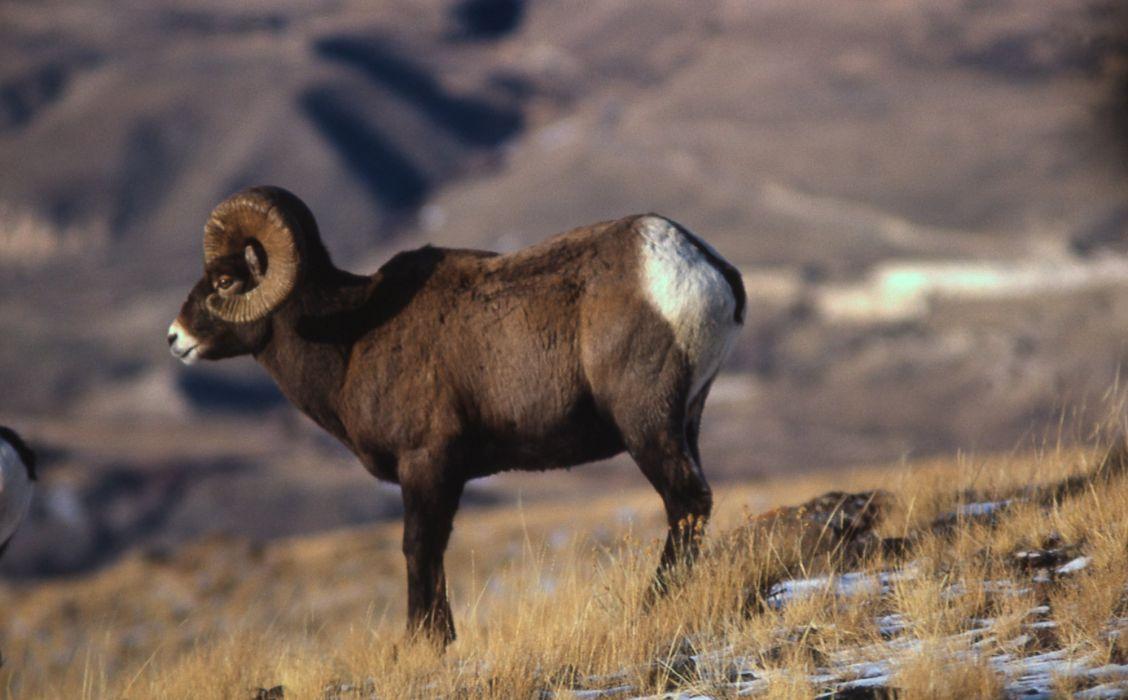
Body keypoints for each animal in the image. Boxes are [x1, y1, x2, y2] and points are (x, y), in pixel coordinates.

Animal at [167, 186, 745, 644]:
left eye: (223, 281)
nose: (176, 338)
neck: (351, 339)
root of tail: (703, 267)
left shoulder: (426, 463)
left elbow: (418, 548)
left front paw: (424, 643)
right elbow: (435, 550)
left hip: (646, 425)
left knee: (685, 502)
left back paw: (650, 607)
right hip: (686, 423)